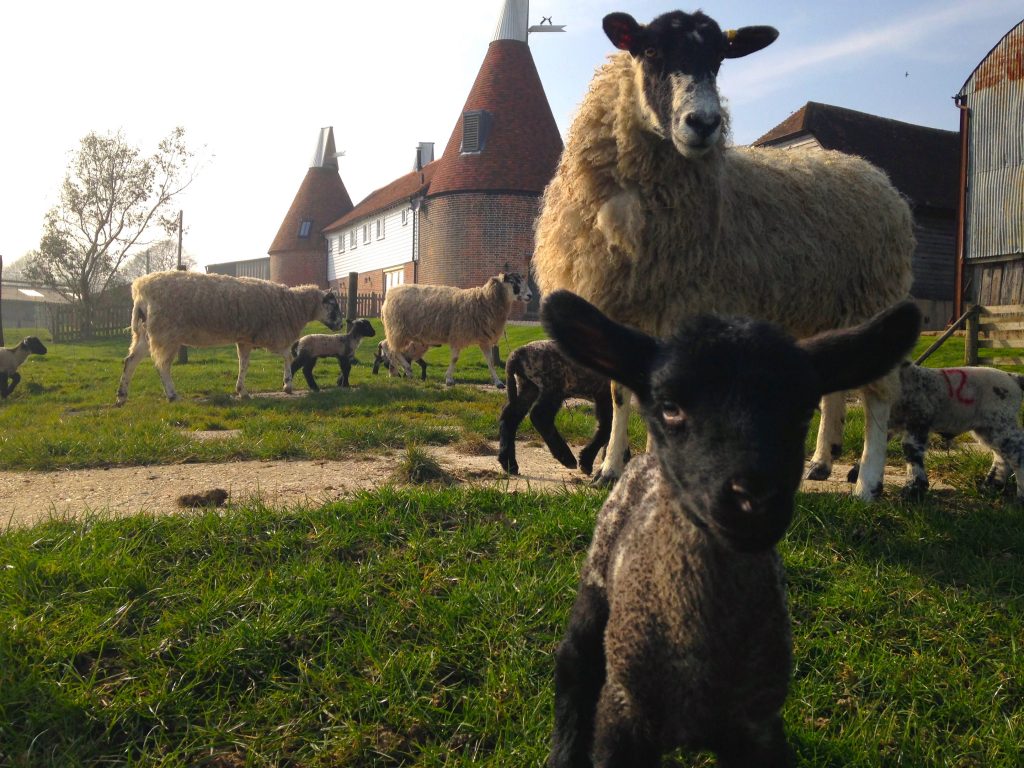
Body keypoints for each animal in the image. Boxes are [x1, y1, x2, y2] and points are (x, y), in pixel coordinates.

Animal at [114, 270, 342, 405]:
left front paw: (242, 391)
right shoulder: (270, 335)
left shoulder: (246, 338)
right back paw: (172, 395)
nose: (341, 324)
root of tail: (139, 290)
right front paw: (287, 384)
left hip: (146, 333)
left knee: (130, 361)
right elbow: (287, 356)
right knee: (162, 366)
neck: (294, 305)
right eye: (333, 305)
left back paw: (122, 397)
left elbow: (244, 364)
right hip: (166, 333)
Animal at [380, 272, 532, 391]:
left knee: (387, 345)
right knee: (391, 348)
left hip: (402, 332)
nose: (530, 295)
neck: (483, 301)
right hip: (397, 329)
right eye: (513, 282)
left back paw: (397, 372)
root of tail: (390, 293)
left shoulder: (484, 339)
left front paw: (498, 382)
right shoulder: (457, 335)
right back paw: (403, 370)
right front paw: (449, 379)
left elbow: (490, 361)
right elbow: (454, 359)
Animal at [493, 342, 606, 475]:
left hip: (529, 385)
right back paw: (566, 458)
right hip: (552, 384)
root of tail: (517, 353)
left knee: (510, 417)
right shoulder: (605, 393)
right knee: (540, 416)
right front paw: (587, 463)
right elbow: (606, 428)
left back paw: (509, 464)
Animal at [528, 13, 913, 505]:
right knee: (836, 389)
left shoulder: (681, 304)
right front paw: (611, 469)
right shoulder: (619, 305)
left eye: (718, 61)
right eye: (650, 51)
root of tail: (880, 179)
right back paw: (822, 462)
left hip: (875, 295)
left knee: (879, 393)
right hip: (835, 306)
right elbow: (618, 394)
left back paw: (868, 481)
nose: (705, 122)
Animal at [544, 290, 921, 768]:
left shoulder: (759, 729)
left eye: (802, 412)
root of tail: (643, 461)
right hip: (596, 581)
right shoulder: (623, 718)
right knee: (574, 664)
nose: (754, 500)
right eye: (670, 408)